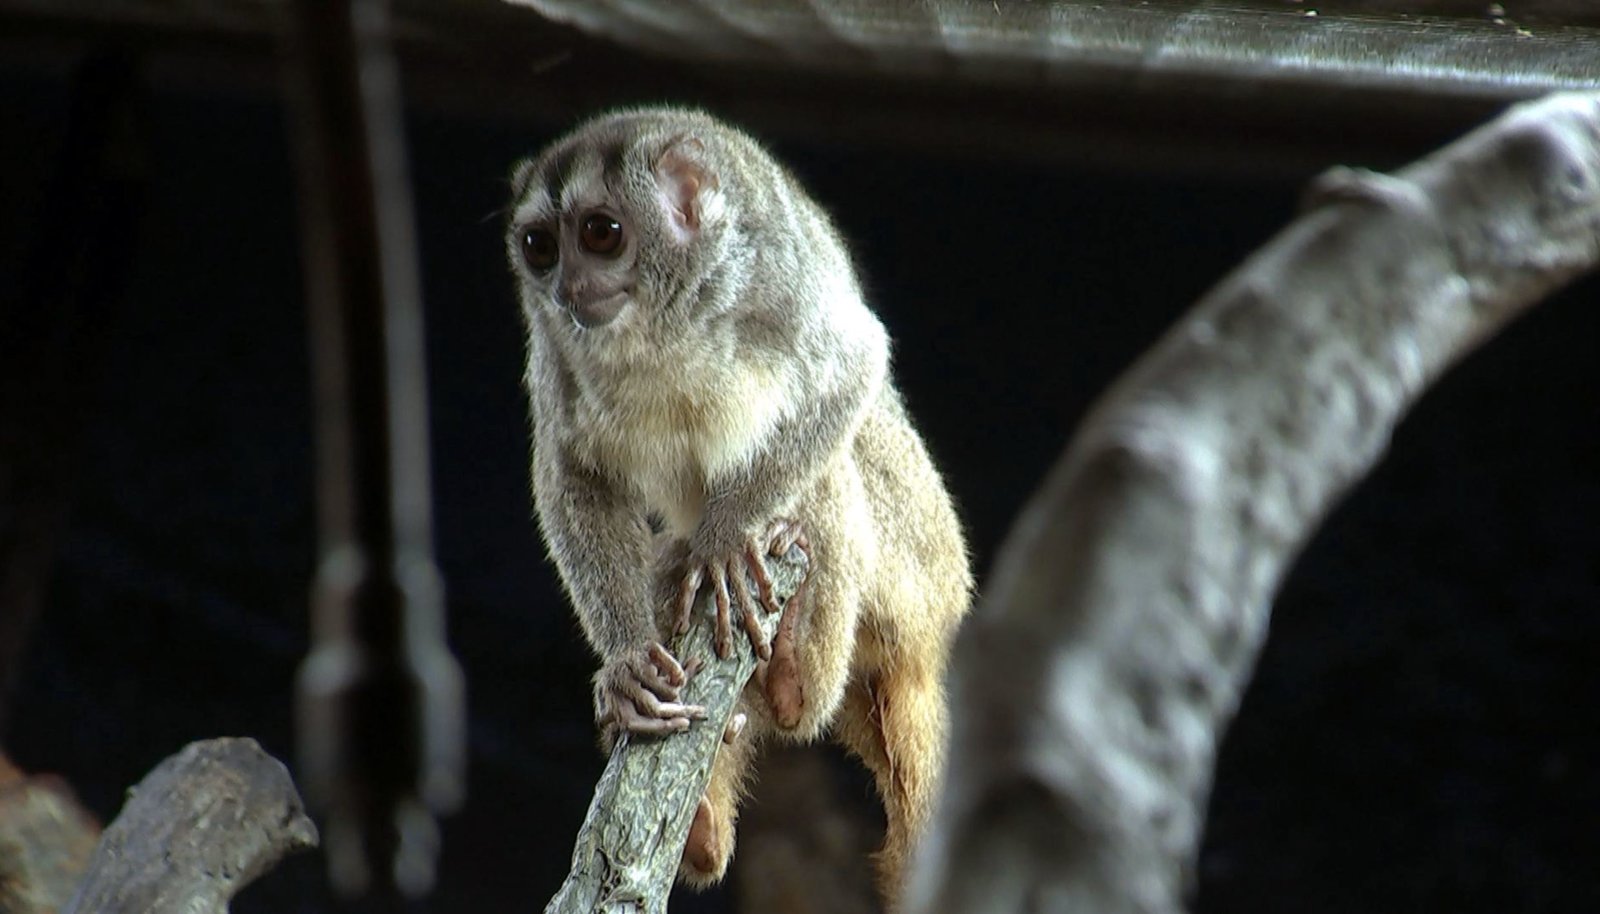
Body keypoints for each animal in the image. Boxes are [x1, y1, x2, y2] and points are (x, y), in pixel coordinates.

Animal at [504, 107, 972, 906]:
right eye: (539, 246)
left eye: (601, 232)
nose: (566, 285)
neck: (663, 324)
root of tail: (931, 647)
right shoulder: (557, 351)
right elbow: (576, 475)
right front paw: (627, 666)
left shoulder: (767, 280)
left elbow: (853, 363)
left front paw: (726, 538)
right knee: (671, 568)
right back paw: (702, 826)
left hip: (919, 571)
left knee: (834, 462)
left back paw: (792, 682)